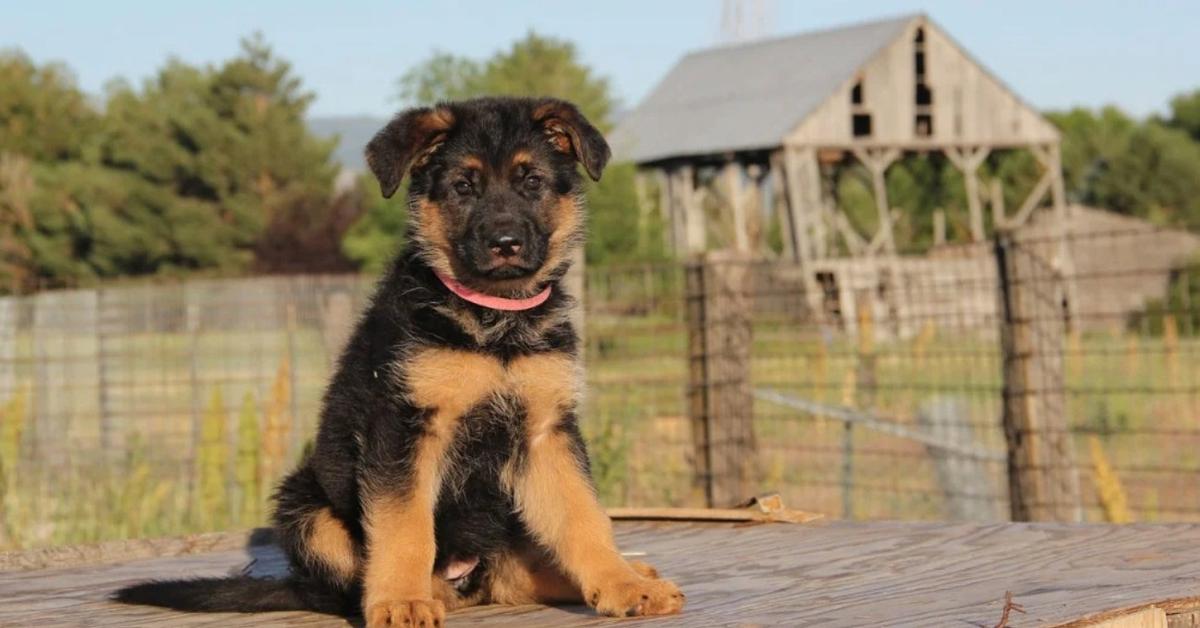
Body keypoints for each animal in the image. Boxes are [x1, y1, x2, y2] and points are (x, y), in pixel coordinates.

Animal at [120, 98, 691, 624]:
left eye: (532, 182)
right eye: (463, 187)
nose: (505, 243)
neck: (492, 319)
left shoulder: (546, 432)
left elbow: (585, 517)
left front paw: (621, 583)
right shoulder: (404, 429)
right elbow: (406, 527)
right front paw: (400, 600)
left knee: (516, 574)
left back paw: (627, 572)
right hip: (307, 506)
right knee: (355, 581)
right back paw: (417, 593)